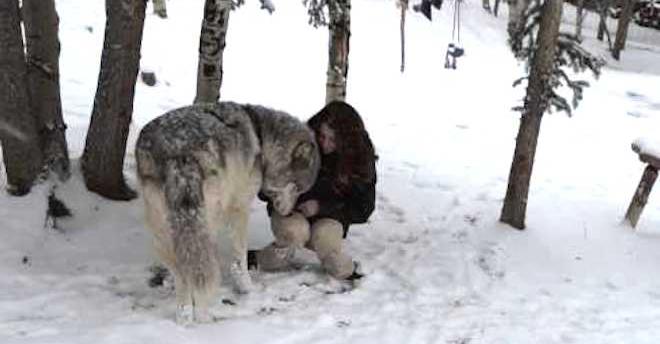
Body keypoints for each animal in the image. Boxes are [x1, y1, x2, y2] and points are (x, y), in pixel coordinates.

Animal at [135, 101, 320, 324]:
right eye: (299, 189)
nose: (288, 212)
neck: (261, 136)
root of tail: (175, 149)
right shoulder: (240, 207)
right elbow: (239, 258)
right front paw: (246, 288)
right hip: (205, 220)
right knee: (201, 269)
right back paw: (204, 316)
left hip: (162, 229)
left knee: (184, 272)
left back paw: (185, 316)